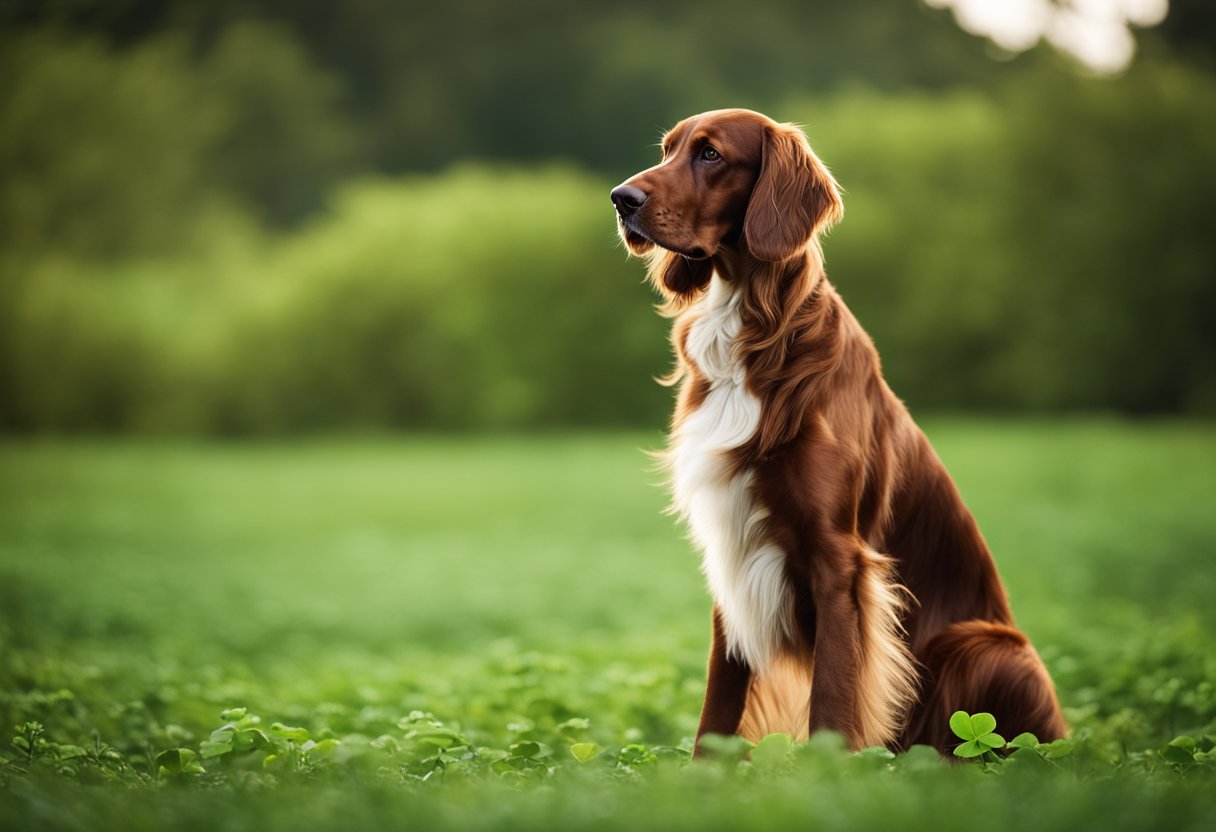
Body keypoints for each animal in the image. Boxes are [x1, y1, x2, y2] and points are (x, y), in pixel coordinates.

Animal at [608, 108, 1065, 754]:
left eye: (711, 154)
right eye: (668, 150)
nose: (621, 199)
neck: (755, 332)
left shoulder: (839, 562)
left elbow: (832, 696)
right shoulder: (733, 553)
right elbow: (717, 705)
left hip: (981, 644)